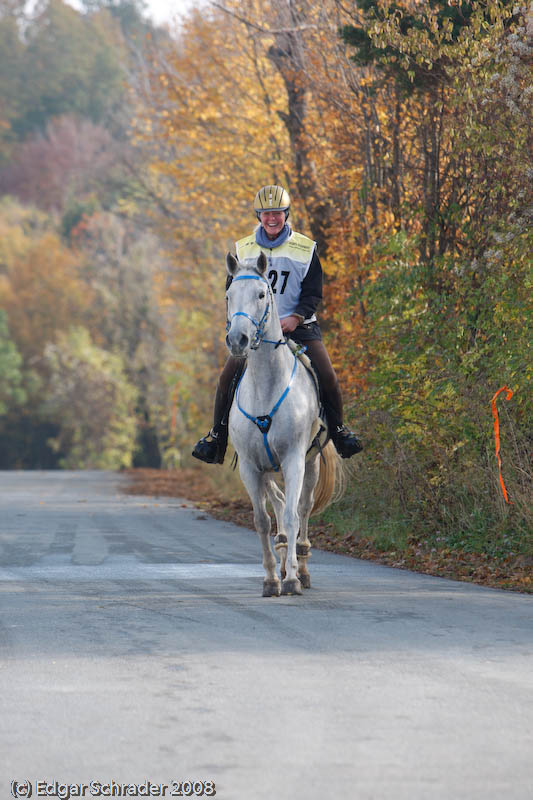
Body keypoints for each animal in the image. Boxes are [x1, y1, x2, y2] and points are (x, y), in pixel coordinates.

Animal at [224, 253, 340, 596]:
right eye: (228, 296)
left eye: (262, 294)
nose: (238, 340)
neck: (266, 386)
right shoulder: (251, 466)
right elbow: (262, 520)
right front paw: (271, 579)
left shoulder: (293, 459)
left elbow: (291, 515)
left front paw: (290, 580)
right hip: (267, 469)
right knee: (277, 502)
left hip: (310, 463)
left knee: (302, 508)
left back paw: (301, 566)